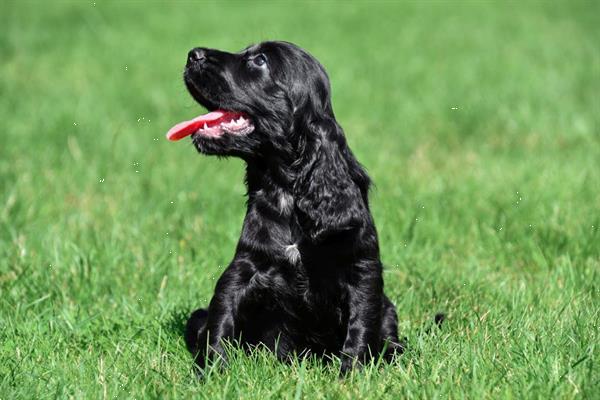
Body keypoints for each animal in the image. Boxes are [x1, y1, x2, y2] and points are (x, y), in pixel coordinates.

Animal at [166, 41, 404, 376]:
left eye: (260, 61)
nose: (193, 54)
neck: (288, 193)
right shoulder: (243, 269)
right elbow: (221, 318)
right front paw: (212, 371)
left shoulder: (362, 272)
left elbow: (361, 325)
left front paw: (352, 374)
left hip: (389, 308)